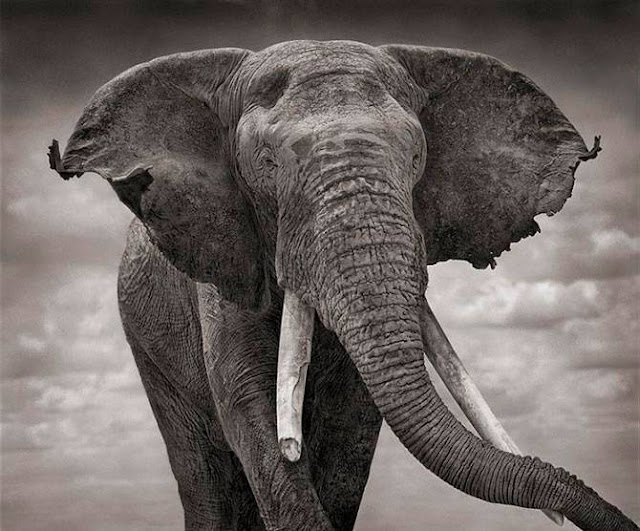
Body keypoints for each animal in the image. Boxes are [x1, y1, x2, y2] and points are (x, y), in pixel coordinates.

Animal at [48, 40, 636, 530]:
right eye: (266, 164)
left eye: (417, 157)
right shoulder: (225, 255)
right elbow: (248, 404)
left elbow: (354, 424)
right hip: (149, 346)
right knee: (203, 476)